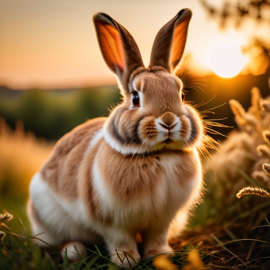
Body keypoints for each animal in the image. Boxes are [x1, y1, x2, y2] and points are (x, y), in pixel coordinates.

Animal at [27, 7, 204, 268]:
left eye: (181, 94)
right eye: (136, 97)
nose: (169, 121)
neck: (158, 156)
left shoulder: (162, 221)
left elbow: (157, 237)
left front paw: (160, 256)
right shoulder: (113, 223)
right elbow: (120, 240)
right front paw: (126, 261)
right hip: (51, 222)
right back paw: (73, 251)